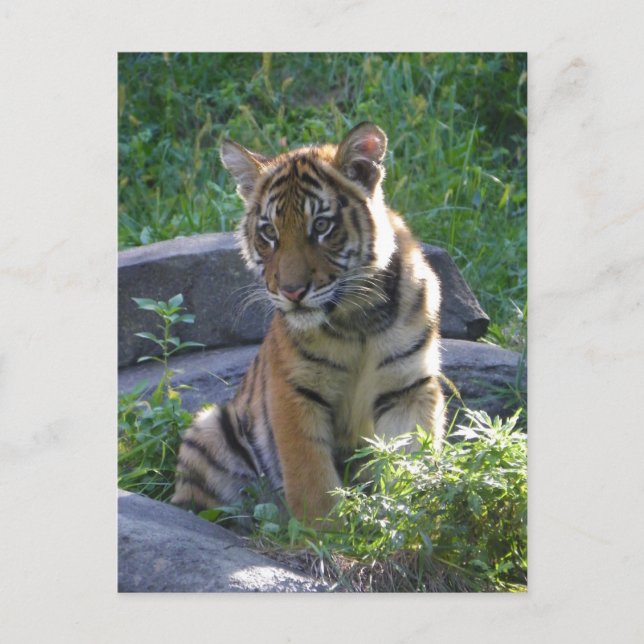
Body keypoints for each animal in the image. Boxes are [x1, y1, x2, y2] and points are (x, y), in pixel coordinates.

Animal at [172, 122, 445, 524]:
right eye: (269, 233)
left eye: (321, 226)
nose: (292, 291)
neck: (356, 318)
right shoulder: (294, 390)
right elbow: (311, 477)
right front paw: (328, 530)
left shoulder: (408, 388)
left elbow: (411, 461)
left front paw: (408, 515)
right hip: (210, 430)